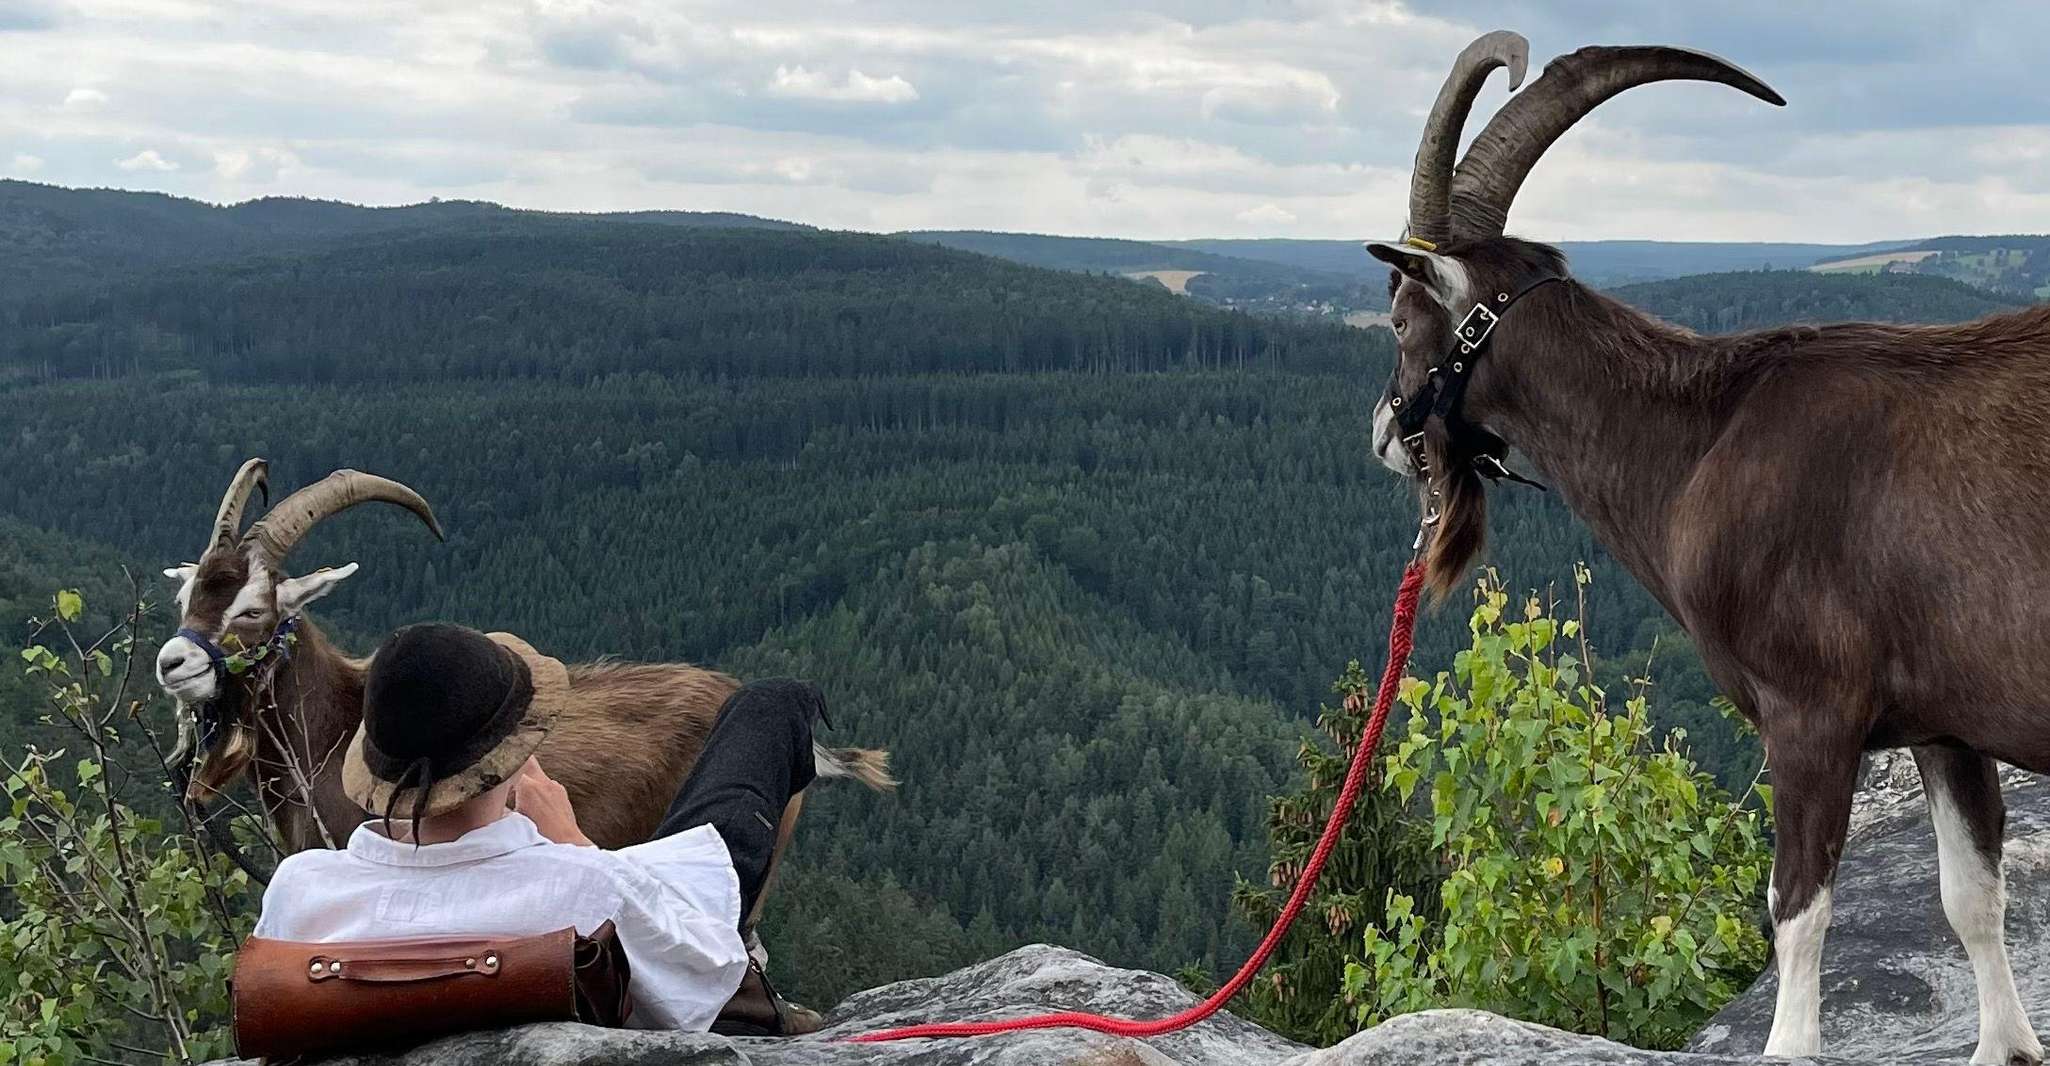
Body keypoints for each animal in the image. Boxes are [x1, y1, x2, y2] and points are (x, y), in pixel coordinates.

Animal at [1367, 33, 2044, 1065]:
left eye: (1403, 315)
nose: (1379, 431)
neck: (1703, 440)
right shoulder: (1947, 725)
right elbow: (1971, 895)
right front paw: (2008, 1045)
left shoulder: (1810, 711)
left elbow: (1797, 910)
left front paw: (1790, 1041)